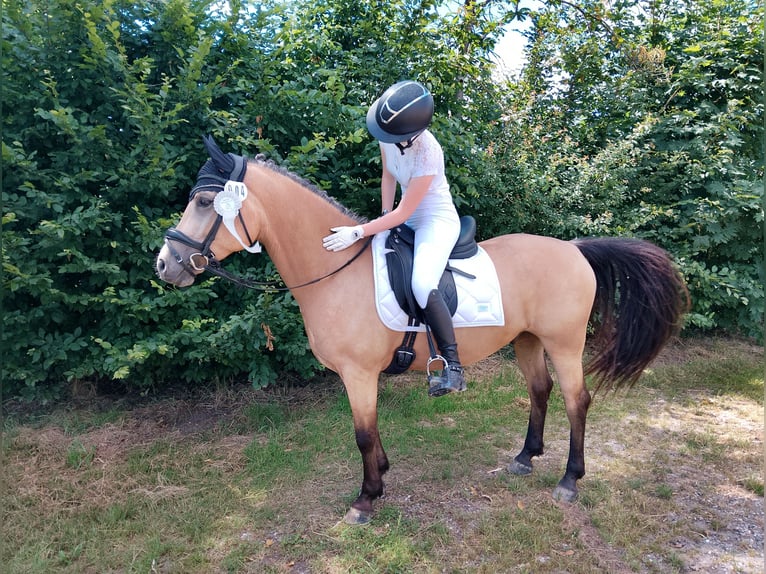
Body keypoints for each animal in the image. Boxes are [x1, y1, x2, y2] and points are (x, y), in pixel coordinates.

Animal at [156, 136, 689, 525]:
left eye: (205, 201)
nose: (165, 265)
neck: (335, 272)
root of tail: (573, 248)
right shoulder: (360, 377)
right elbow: (371, 432)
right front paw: (382, 477)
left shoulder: (358, 374)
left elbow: (362, 435)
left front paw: (366, 499)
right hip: (527, 341)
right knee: (540, 390)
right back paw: (524, 457)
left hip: (563, 342)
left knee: (577, 400)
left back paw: (569, 481)